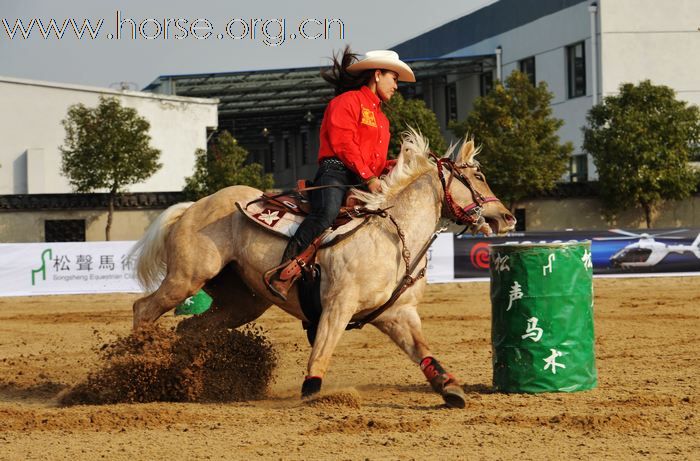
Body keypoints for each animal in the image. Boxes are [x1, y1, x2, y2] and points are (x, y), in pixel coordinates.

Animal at [131, 131, 516, 408]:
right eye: (479, 175)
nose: (507, 217)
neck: (392, 235)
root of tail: (193, 206)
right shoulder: (337, 306)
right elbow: (322, 352)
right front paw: (313, 392)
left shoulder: (398, 314)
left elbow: (423, 351)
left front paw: (450, 388)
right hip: (187, 277)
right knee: (144, 309)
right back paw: (136, 364)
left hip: (243, 303)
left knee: (190, 328)